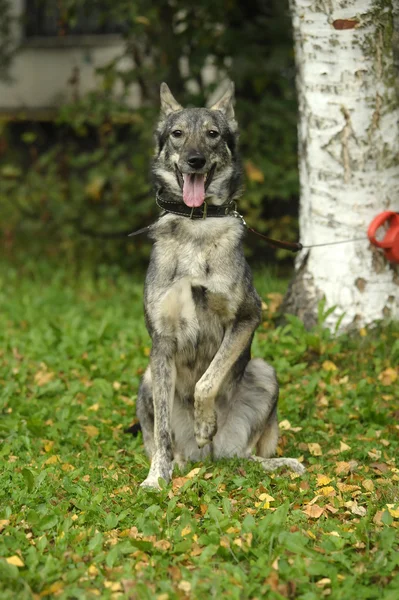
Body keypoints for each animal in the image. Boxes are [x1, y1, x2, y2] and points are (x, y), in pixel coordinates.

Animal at [133, 81, 304, 488]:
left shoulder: (246, 317)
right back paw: (178, 462)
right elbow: (162, 431)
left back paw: (275, 462)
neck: (196, 227)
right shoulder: (161, 342)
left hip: (264, 373)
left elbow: (207, 381)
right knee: (167, 438)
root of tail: (208, 458)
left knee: (246, 455)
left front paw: (204, 423)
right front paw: (156, 478)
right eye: (177, 134)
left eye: (213, 134)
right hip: (146, 379)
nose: (194, 160)